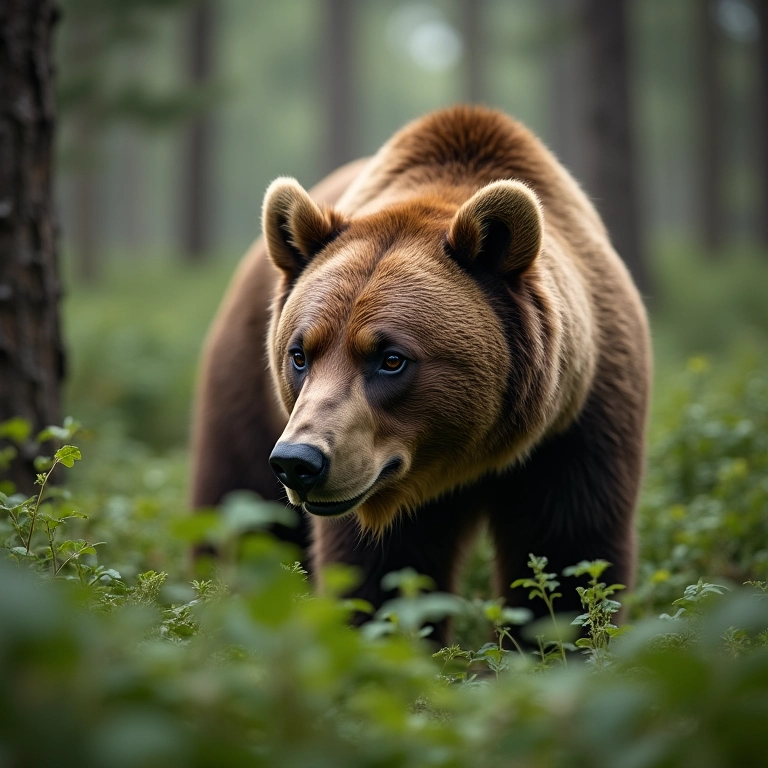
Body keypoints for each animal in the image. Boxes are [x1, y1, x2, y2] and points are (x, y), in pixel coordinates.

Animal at [191, 106, 651, 645]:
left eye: (391, 358)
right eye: (300, 354)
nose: (299, 462)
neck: (460, 461)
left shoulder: (577, 428)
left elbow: (570, 555)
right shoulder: (371, 490)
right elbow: (378, 578)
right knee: (239, 512)